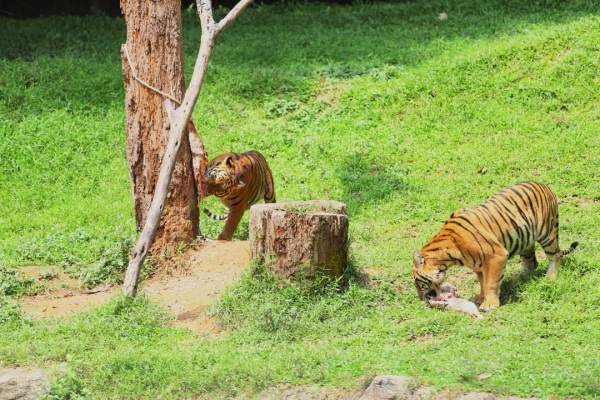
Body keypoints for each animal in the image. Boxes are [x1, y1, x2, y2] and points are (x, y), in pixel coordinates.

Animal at [412, 182, 576, 312]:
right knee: (531, 263)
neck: (448, 258)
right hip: (525, 240)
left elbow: (490, 282)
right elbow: (483, 282)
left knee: (556, 255)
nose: (421, 299)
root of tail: (545, 185)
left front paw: (489, 304)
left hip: (546, 233)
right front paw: (481, 297)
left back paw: (550, 278)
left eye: (418, 283)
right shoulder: (479, 265)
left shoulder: (496, 256)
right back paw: (518, 280)